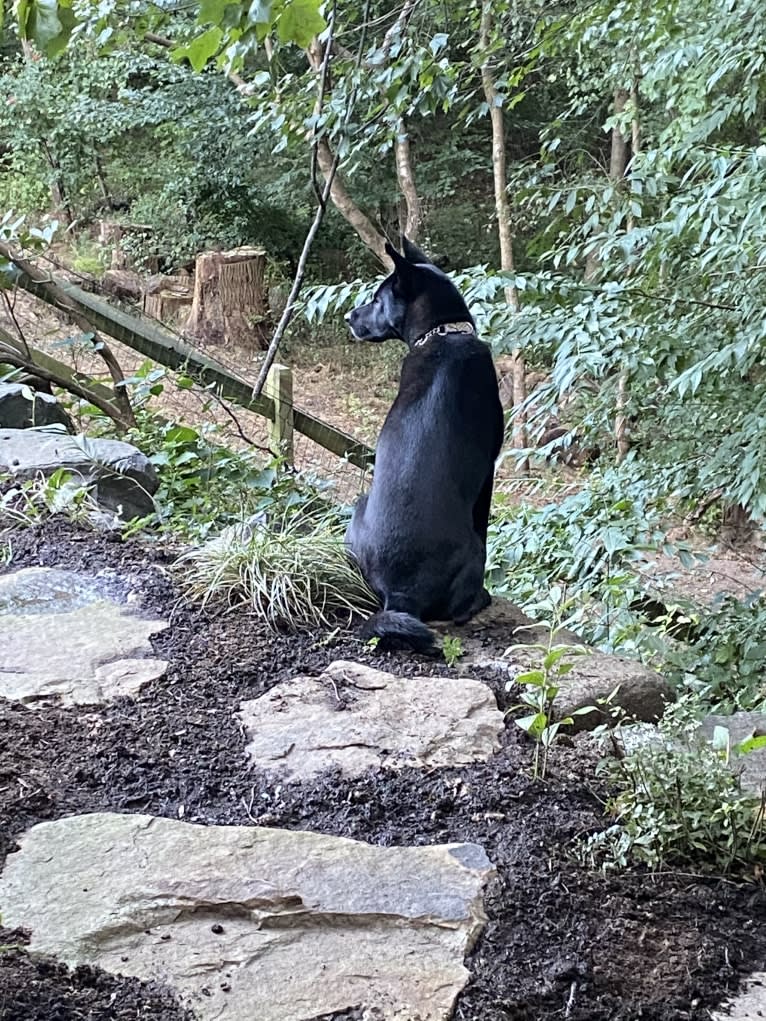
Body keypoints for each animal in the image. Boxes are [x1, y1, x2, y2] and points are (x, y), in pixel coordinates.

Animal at [347, 237, 504, 649]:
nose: (349, 317)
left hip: (357, 508)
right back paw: (481, 599)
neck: (444, 333)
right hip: (474, 552)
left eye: (377, 298)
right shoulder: (488, 473)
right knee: (462, 608)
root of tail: (400, 593)